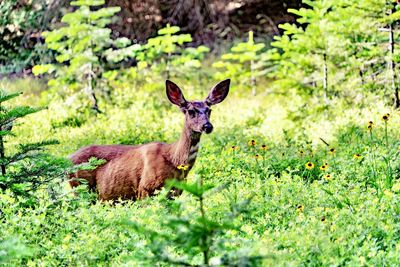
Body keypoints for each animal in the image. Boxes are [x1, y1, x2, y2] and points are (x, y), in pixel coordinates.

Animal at [69, 79, 230, 201]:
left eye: (209, 110)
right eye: (191, 111)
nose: (207, 126)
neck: (175, 161)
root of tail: (68, 158)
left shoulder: (176, 192)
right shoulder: (145, 187)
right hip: (80, 186)